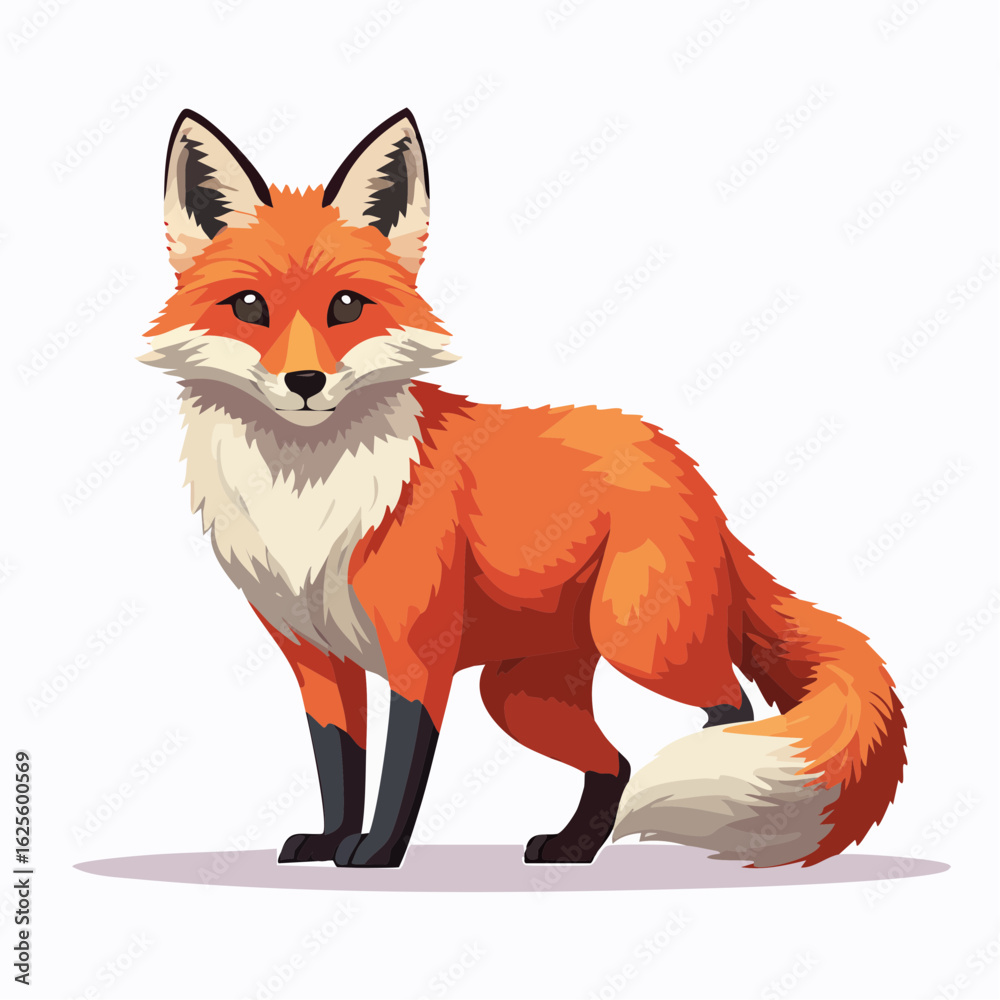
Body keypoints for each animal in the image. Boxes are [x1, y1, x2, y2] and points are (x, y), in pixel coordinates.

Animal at [141, 108, 905, 870]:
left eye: (347, 306)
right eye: (249, 306)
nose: (306, 382)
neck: (305, 501)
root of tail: (685, 467)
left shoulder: (420, 658)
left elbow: (398, 771)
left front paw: (377, 852)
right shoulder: (316, 663)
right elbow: (340, 765)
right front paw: (330, 841)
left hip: (637, 640)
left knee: (729, 713)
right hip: (517, 695)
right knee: (618, 764)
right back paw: (576, 847)